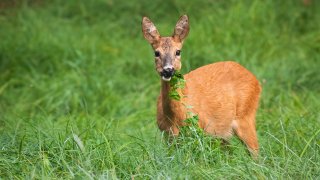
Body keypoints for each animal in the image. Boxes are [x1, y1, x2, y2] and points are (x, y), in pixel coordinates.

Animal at [141, 14, 262, 157]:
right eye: (156, 53)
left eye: (178, 51)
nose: (168, 70)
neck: (175, 118)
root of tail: (255, 80)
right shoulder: (168, 136)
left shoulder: (201, 130)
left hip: (245, 116)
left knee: (256, 152)